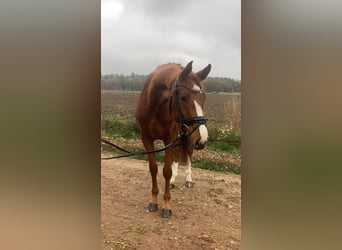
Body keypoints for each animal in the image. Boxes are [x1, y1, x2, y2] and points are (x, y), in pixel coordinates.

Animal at [134, 60, 210, 217]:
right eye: (183, 97)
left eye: (203, 97)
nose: (202, 139)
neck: (155, 107)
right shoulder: (147, 139)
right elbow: (153, 169)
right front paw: (153, 201)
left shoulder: (170, 139)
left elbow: (166, 171)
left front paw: (167, 205)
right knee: (176, 157)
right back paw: (174, 180)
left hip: (187, 137)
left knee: (188, 155)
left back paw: (188, 179)